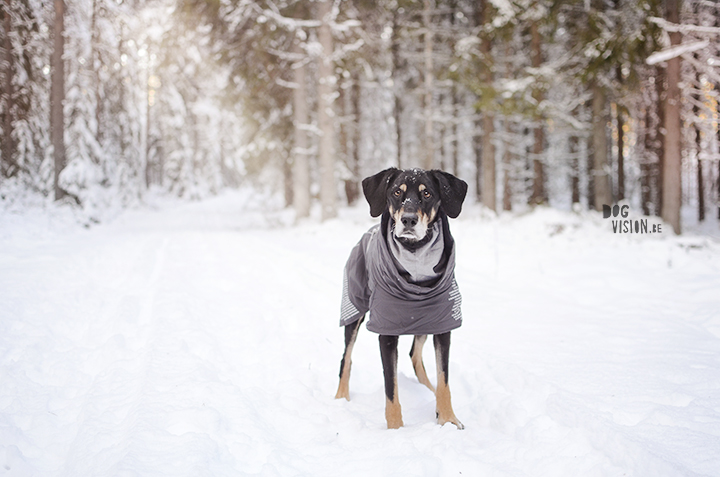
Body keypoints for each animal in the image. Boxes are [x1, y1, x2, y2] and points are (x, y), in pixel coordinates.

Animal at [336, 167, 466, 428]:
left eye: (427, 193)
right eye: (397, 192)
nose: (408, 220)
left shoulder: (443, 325)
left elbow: (444, 379)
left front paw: (447, 419)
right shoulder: (386, 332)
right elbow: (391, 387)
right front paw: (396, 429)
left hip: (425, 321)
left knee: (415, 355)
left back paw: (429, 391)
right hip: (354, 310)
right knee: (347, 358)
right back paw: (340, 399)